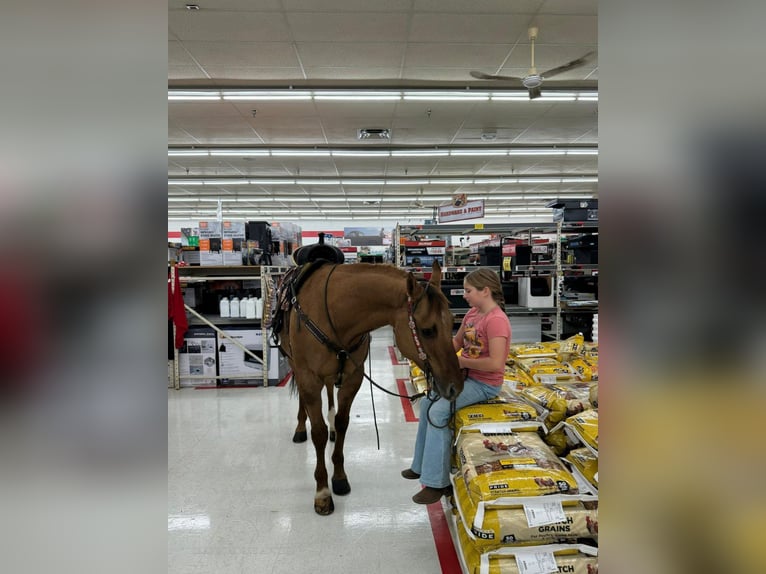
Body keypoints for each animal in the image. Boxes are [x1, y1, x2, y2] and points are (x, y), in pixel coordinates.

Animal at [278, 260, 468, 516]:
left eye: (451, 323)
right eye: (428, 330)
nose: (455, 386)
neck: (334, 314)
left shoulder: (352, 378)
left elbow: (343, 422)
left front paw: (339, 478)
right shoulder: (309, 378)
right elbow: (317, 432)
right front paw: (322, 492)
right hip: (293, 364)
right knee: (303, 402)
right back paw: (300, 428)